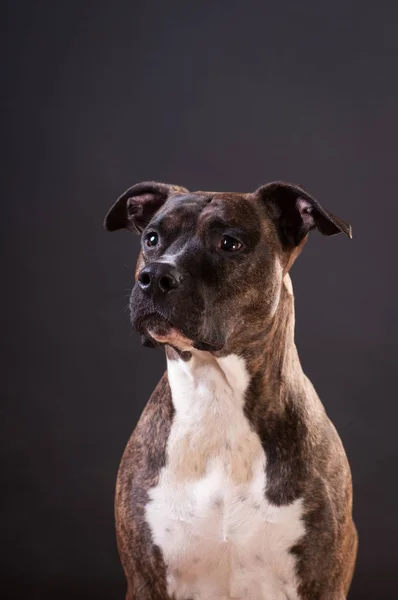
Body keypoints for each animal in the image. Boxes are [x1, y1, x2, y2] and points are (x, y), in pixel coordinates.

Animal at [105, 182, 358, 600]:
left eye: (229, 243)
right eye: (152, 238)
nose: (154, 275)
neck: (215, 397)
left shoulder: (323, 582)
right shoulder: (143, 579)